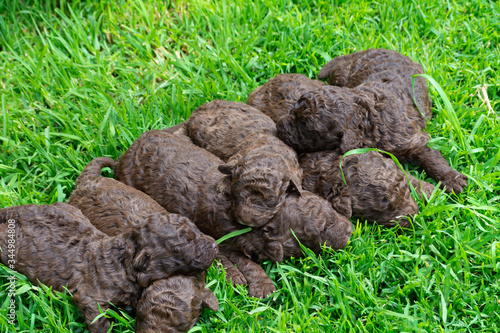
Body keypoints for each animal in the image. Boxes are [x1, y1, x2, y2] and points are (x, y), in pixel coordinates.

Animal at [115, 131, 354, 296]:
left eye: (331, 211)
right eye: (320, 231)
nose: (351, 231)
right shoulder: (223, 238)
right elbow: (244, 262)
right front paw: (258, 284)